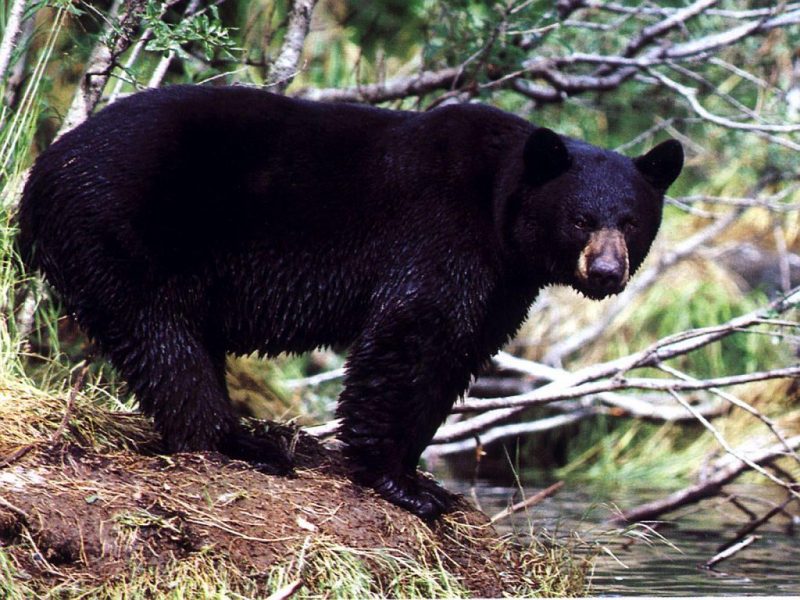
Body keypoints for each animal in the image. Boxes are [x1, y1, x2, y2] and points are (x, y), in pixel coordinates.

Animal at [17, 85, 683, 519]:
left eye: (631, 221)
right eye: (580, 219)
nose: (606, 271)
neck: (498, 202)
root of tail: (41, 175)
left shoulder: (503, 280)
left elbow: (457, 353)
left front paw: (419, 470)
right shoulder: (440, 233)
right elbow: (412, 335)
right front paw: (399, 480)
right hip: (123, 230)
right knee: (163, 338)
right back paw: (241, 443)